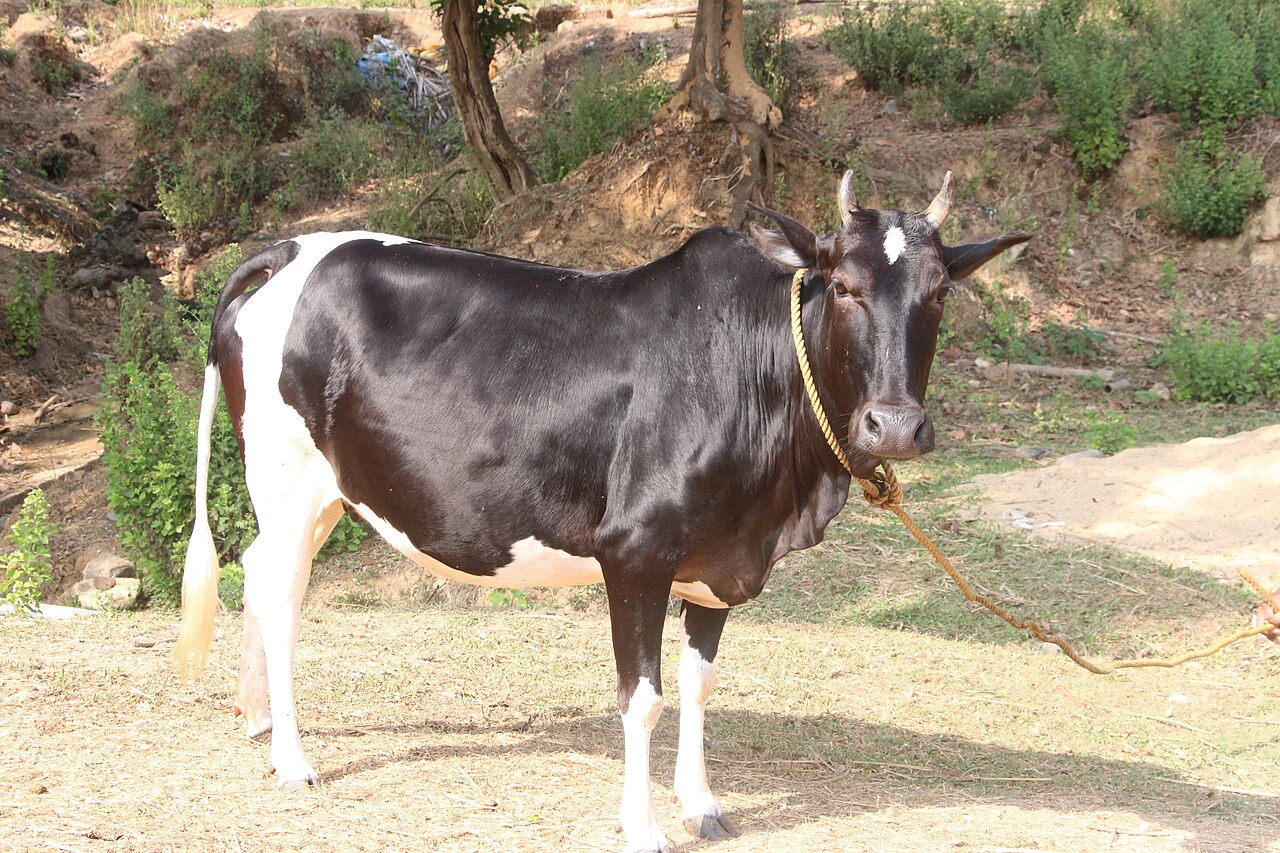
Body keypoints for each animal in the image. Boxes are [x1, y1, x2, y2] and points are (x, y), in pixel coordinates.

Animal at [175, 170, 1029, 852]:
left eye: (940, 292)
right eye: (845, 285)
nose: (895, 426)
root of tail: (292, 248)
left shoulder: (719, 555)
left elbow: (698, 684)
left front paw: (701, 802)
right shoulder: (636, 548)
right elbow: (642, 697)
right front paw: (643, 825)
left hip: (325, 487)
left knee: (258, 571)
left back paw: (257, 717)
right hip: (285, 473)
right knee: (282, 593)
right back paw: (292, 757)